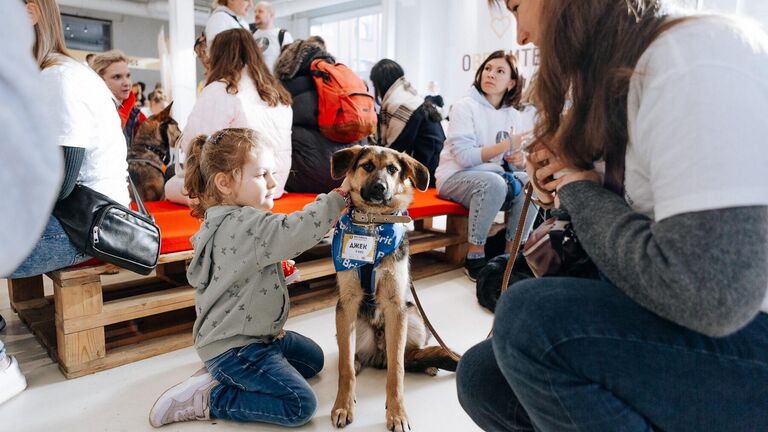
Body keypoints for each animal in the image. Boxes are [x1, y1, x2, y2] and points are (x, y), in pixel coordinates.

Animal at [328, 146, 456, 432]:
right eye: (366, 165)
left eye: (393, 169)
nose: (379, 187)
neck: (374, 227)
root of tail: (378, 353)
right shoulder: (347, 304)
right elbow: (344, 368)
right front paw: (343, 405)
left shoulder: (396, 307)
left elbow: (397, 372)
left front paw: (397, 413)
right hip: (351, 325)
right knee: (351, 356)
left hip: (414, 317)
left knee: (409, 356)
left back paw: (429, 364)